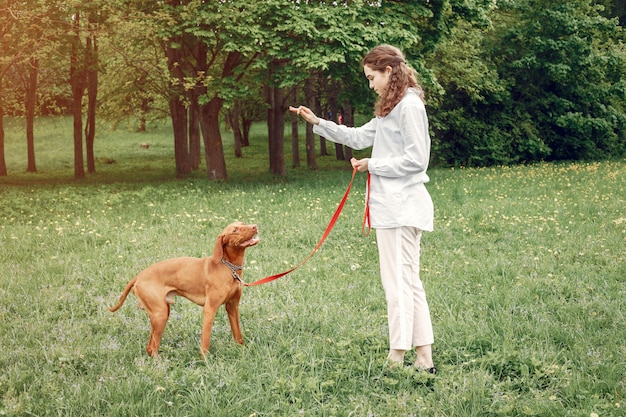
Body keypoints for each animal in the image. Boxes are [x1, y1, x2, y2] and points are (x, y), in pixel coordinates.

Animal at [108, 219, 258, 356]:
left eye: (243, 223)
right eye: (235, 230)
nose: (255, 226)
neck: (229, 268)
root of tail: (139, 276)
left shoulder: (232, 307)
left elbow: (238, 334)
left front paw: (241, 351)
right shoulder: (209, 309)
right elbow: (205, 341)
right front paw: (205, 360)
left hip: (161, 313)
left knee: (150, 346)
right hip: (160, 314)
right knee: (152, 347)